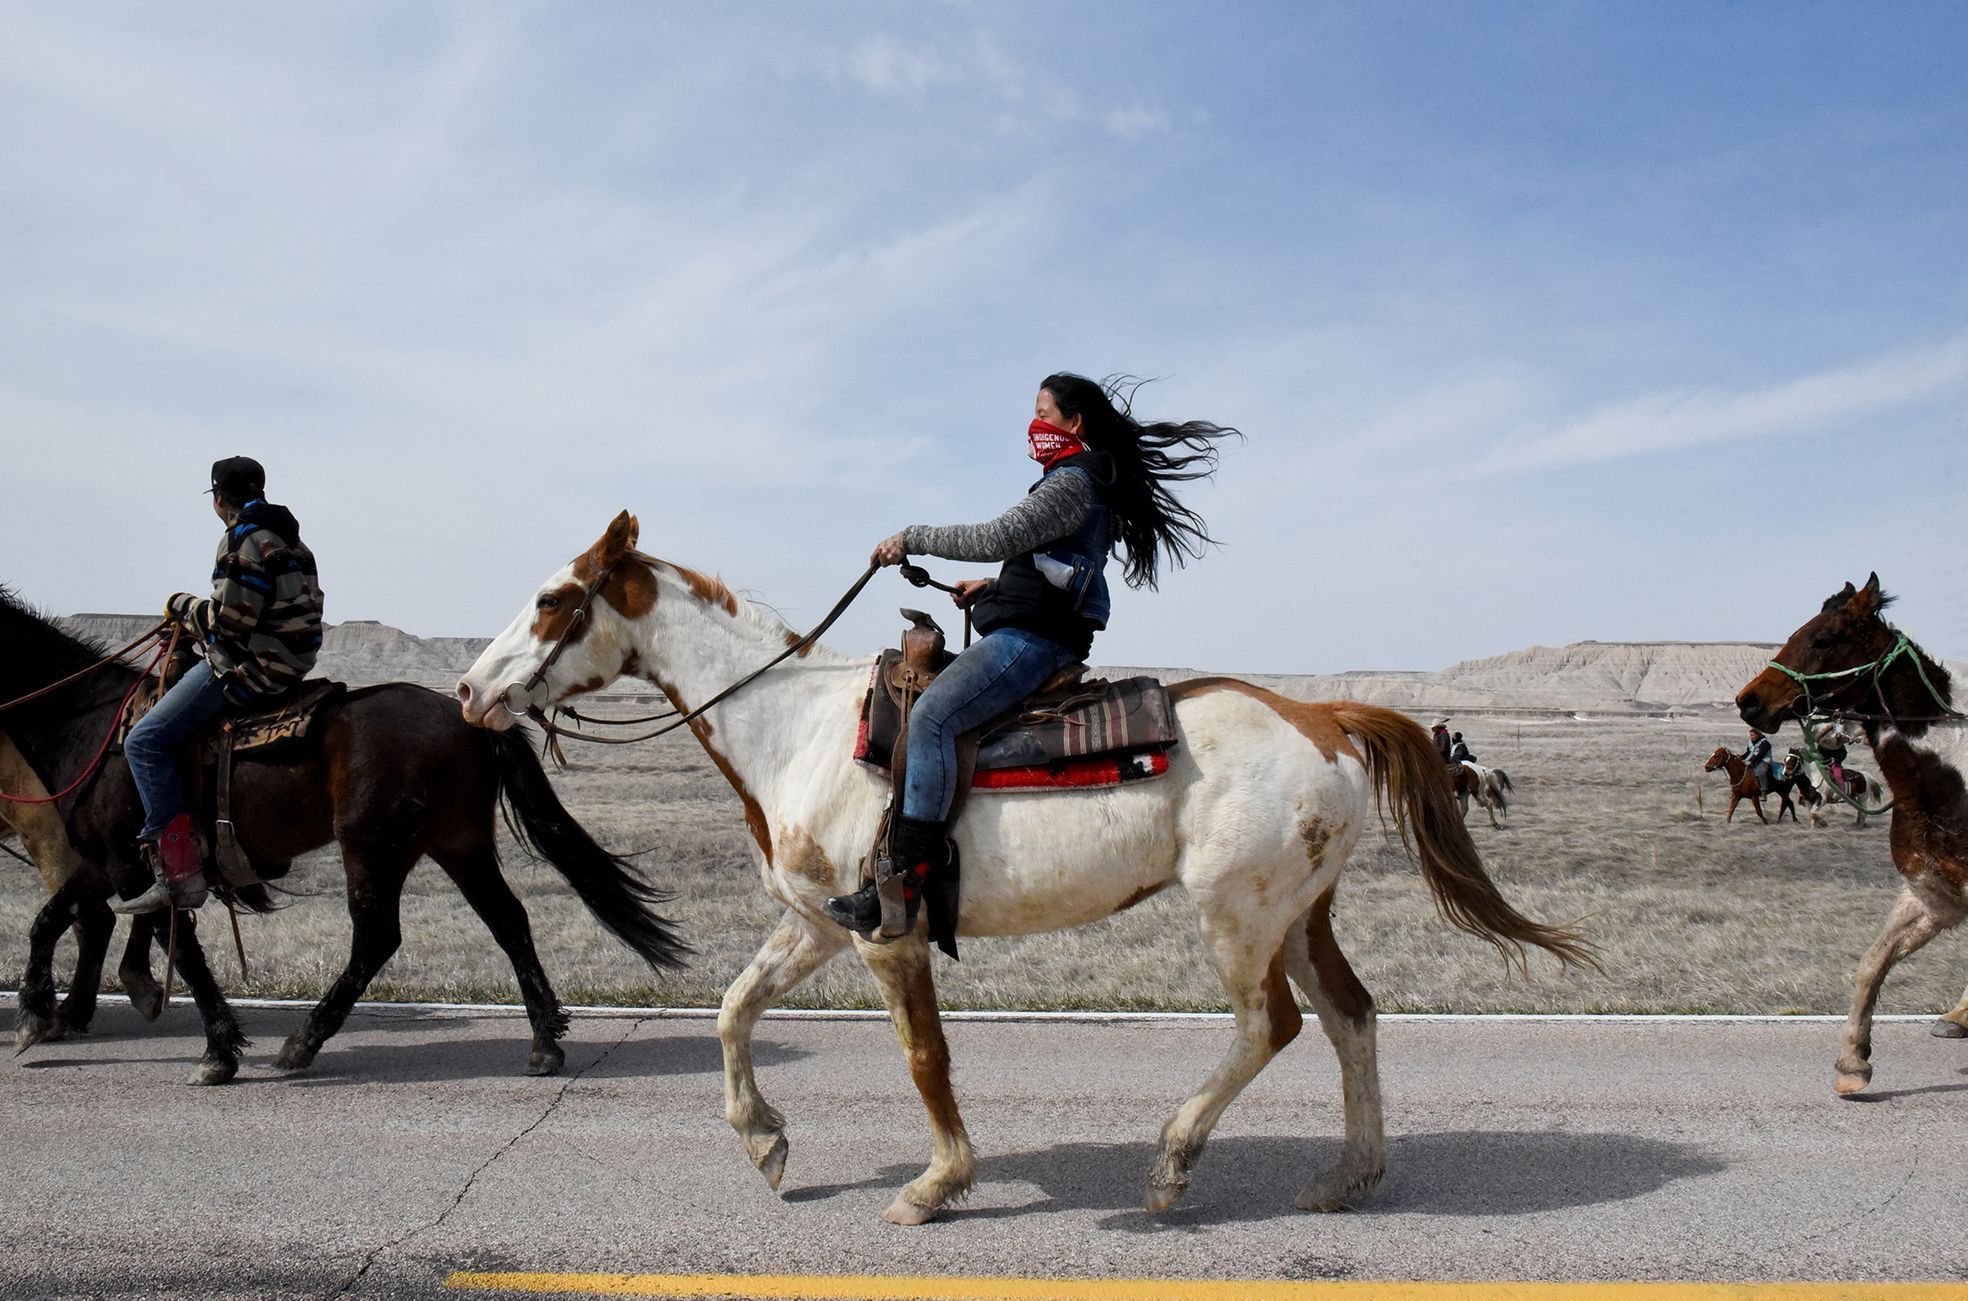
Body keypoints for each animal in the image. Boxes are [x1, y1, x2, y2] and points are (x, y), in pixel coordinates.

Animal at [0, 582, 688, 1078]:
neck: (92, 724)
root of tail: (466, 715)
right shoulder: (109, 861)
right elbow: (55, 919)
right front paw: (38, 1013)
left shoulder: (129, 860)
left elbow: (174, 946)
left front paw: (217, 1049)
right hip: (458, 843)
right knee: (508, 920)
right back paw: (544, 1041)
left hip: (373, 845)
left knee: (377, 937)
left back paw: (304, 1041)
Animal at [452, 511, 1590, 1220]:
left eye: (553, 597)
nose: (468, 689)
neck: (795, 725)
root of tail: (1323, 716)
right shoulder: (818, 922)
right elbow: (735, 1009)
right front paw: (766, 1142)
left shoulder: (889, 930)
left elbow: (924, 1056)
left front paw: (937, 1183)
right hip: (1303, 912)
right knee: (1351, 1015)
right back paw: (1348, 1174)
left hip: (1241, 915)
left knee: (1272, 1023)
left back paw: (1172, 1161)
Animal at [1739, 574, 1968, 1094]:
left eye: (1825, 638)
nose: (1749, 701)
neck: (1948, 777)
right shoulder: (1931, 893)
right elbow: (1872, 962)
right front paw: (1852, 1062)